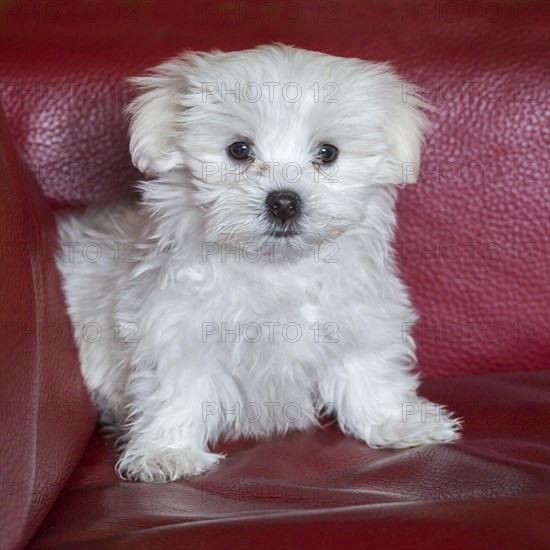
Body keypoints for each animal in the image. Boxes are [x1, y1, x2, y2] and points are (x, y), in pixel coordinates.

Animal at [57, 44, 462, 484]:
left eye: (328, 153)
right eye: (238, 150)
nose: (283, 202)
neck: (276, 266)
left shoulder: (358, 317)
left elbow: (369, 371)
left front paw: (397, 422)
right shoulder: (178, 327)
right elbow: (179, 390)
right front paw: (167, 453)